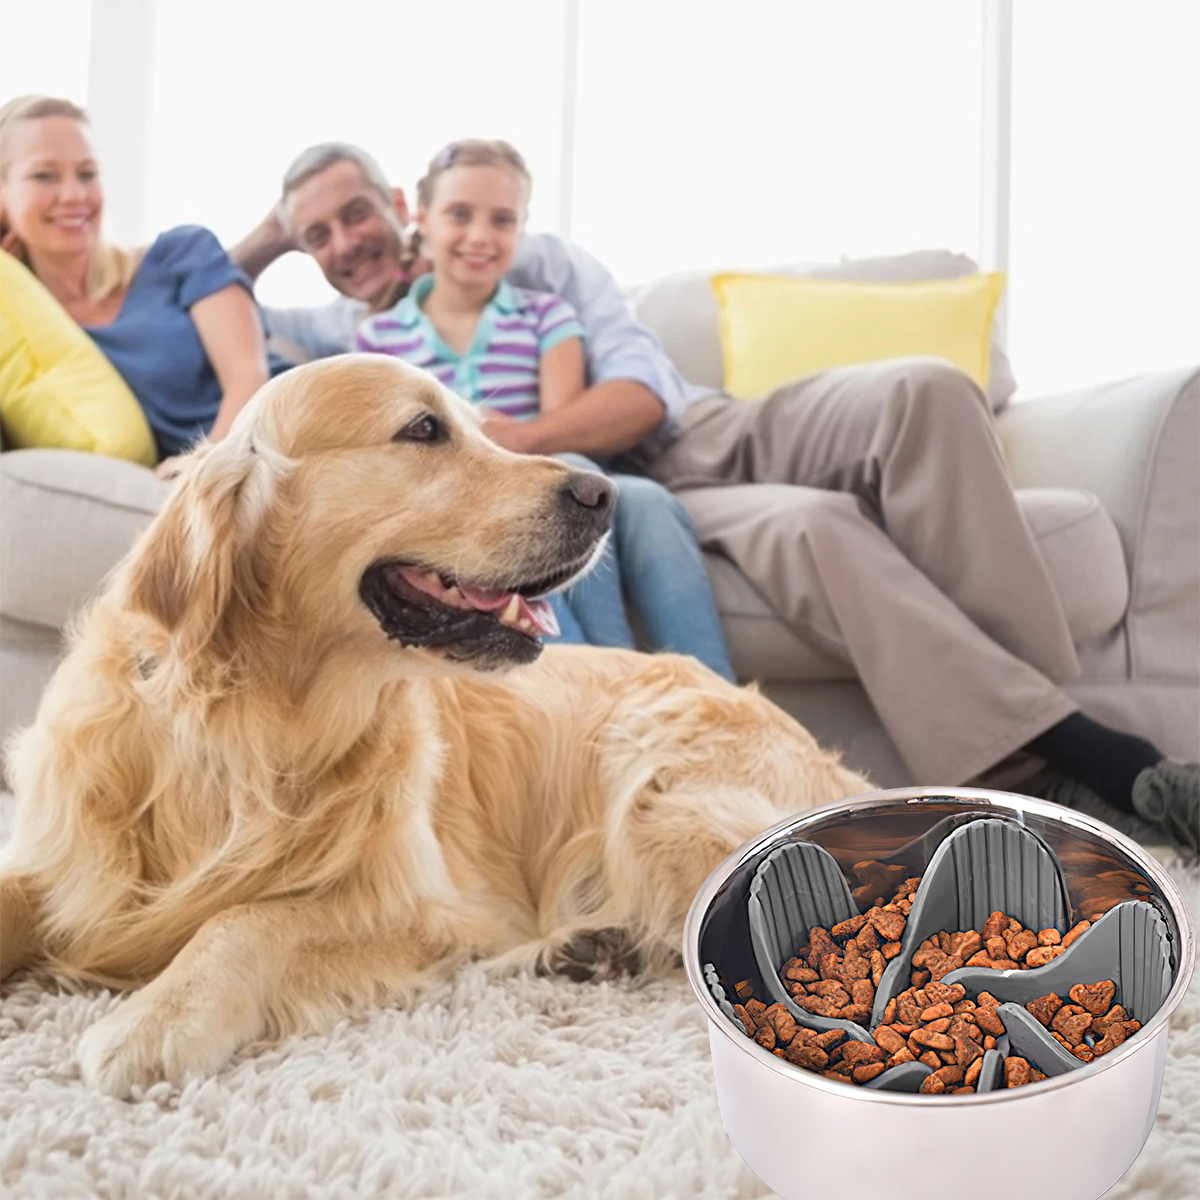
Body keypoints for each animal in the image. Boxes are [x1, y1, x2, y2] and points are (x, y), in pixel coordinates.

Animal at [0, 355, 868, 1099]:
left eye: (478, 426)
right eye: (422, 429)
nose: (603, 496)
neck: (256, 722)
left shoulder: (410, 903)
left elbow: (247, 917)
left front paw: (158, 1018)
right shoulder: (68, 860)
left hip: (658, 790)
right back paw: (581, 948)